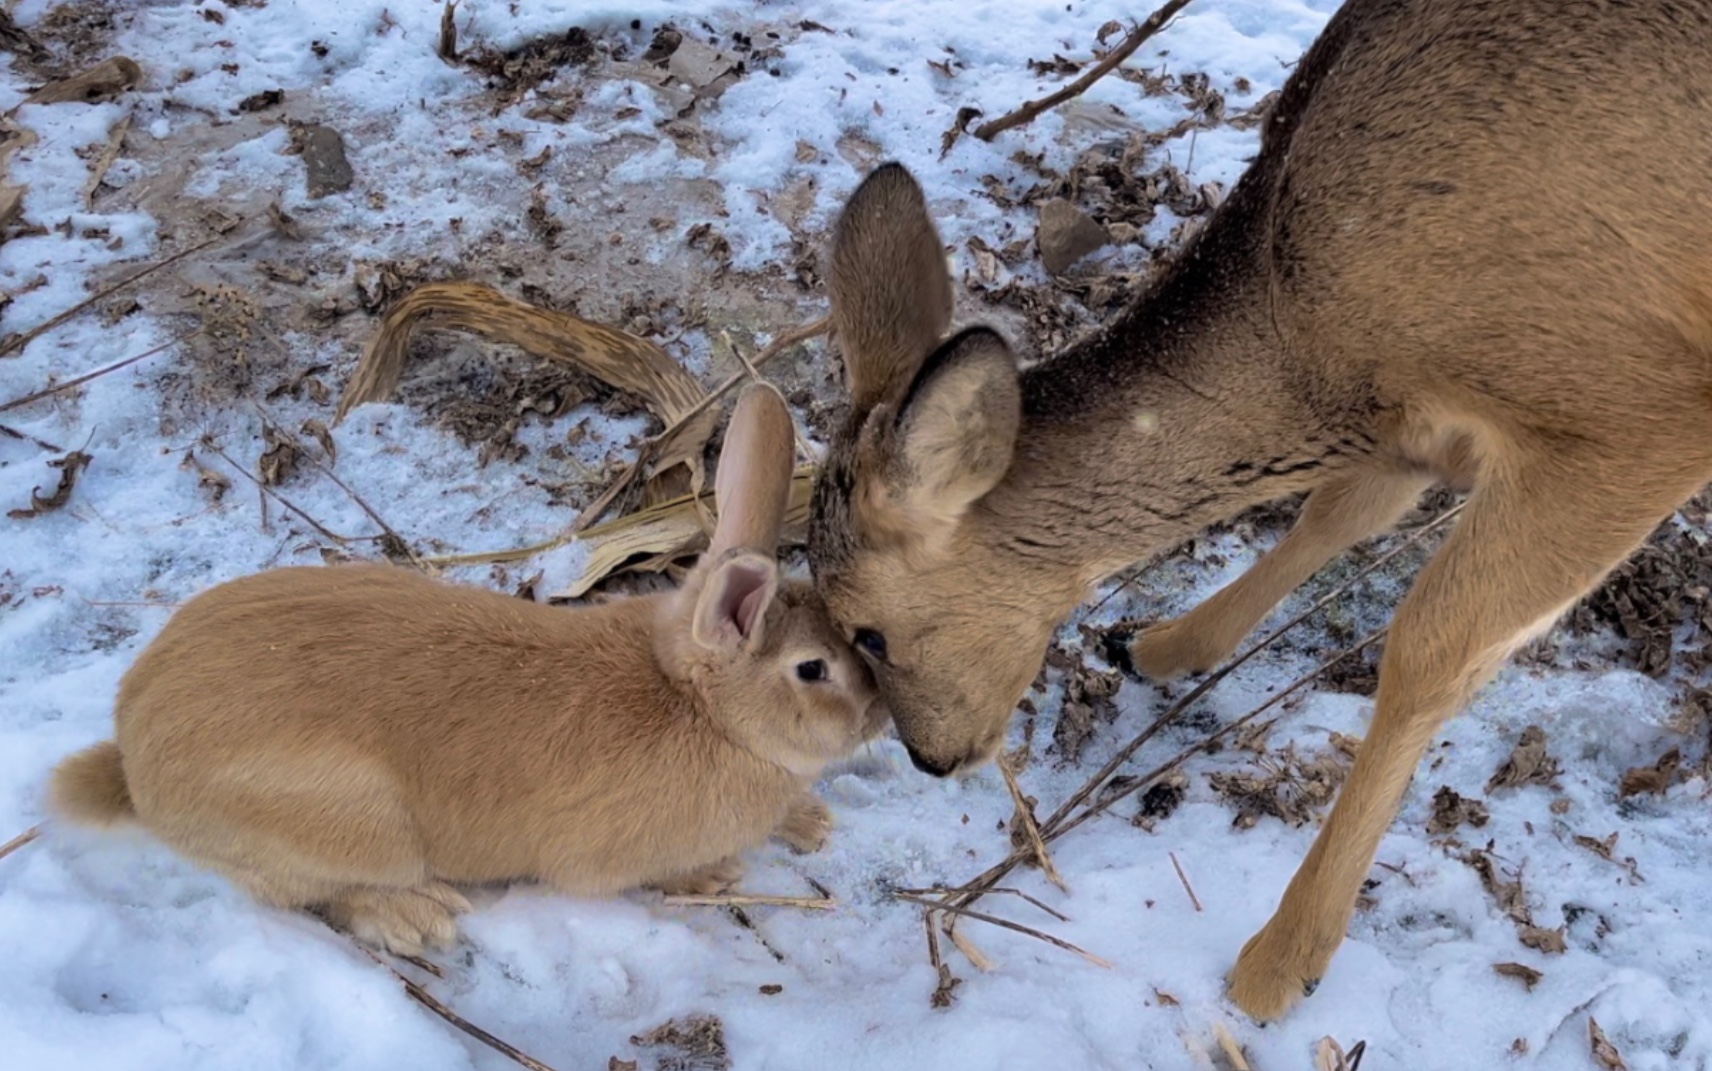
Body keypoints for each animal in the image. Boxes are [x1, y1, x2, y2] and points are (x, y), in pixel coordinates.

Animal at [46, 381, 890, 951]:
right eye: (813, 670)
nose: (881, 712)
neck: (700, 705)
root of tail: (136, 761)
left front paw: (809, 819)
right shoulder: (602, 858)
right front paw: (713, 878)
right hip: (354, 825)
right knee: (323, 894)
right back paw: (417, 913)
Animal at [801, 0, 1712, 1019]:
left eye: (869, 632)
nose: (931, 756)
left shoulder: (1630, 417)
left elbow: (1432, 649)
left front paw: (1282, 959)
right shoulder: (1417, 423)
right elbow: (1339, 513)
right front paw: (1166, 645)